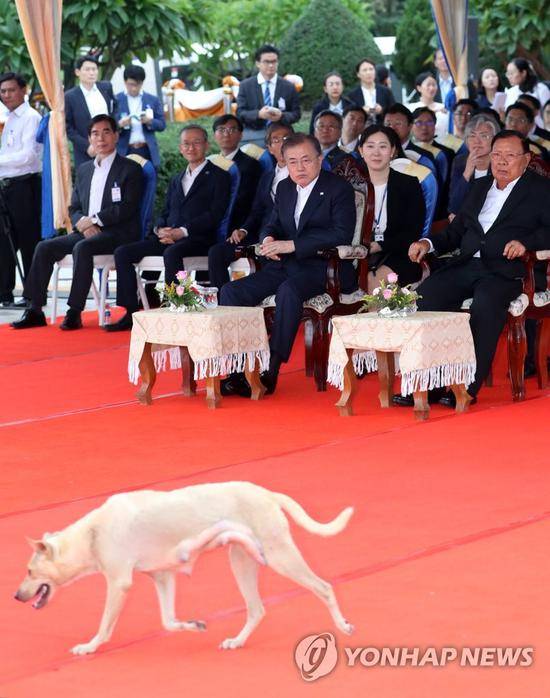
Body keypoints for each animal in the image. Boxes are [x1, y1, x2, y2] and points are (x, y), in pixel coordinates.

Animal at [16, 478, 358, 652]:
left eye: (30, 572)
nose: (16, 596)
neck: (92, 533)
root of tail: (267, 493)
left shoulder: (119, 583)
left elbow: (104, 627)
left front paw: (89, 647)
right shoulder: (163, 577)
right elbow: (169, 622)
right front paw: (193, 625)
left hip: (280, 556)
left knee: (324, 588)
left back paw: (343, 625)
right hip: (242, 562)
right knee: (257, 609)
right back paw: (237, 641)